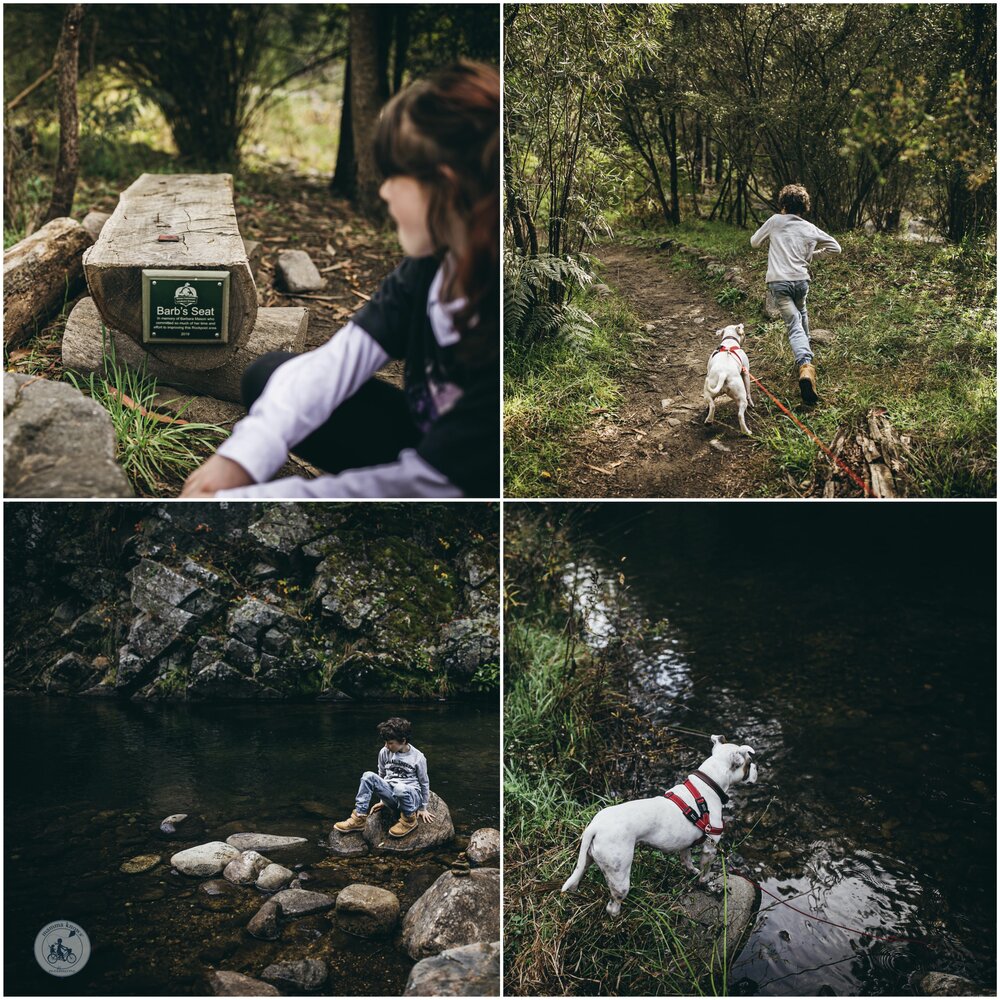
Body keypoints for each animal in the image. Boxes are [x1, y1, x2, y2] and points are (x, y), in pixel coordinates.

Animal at [564, 736, 756, 916]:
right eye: (749, 763)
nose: (757, 768)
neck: (708, 784)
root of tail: (594, 827)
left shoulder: (685, 845)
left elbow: (687, 861)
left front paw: (692, 871)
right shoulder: (710, 847)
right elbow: (705, 871)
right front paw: (705, 883)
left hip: (588, 859)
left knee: (578, 875)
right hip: (619, 876)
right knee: (614, 904)